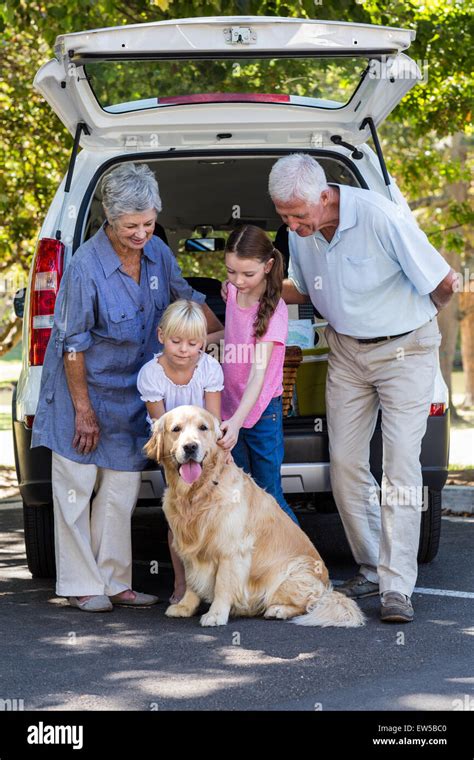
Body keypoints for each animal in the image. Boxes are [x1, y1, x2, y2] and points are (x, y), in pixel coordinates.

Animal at [146, 404, 364, 628]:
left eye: (203, 428)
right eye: (176, 429)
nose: (190, 447)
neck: (199, 492)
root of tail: (327, 586)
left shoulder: (231, 550)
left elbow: (222, 585)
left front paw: (216, 614)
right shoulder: (190, 547)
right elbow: (191, 579)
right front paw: (185, 606)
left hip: (290, 572)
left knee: (309, 603)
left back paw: (279, 610)